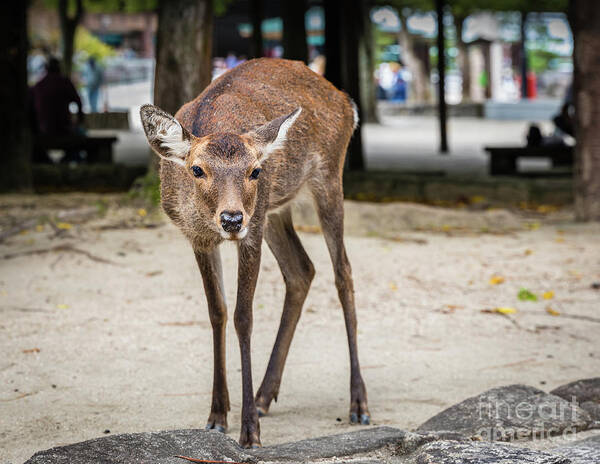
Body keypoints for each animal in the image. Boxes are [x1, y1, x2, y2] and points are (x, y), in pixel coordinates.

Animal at [140, 56, 368, 448]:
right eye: (197, 169)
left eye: (255, 171)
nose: (231, 218)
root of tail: (345, 102)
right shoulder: (198, 238)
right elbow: (217, 312)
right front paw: (217, 415)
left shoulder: (252, 232)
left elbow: (243, 317)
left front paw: (249, 432)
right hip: (273, 209)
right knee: (302, 269)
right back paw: (264, 396)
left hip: (323, 181)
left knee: (343, 272)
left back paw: (358, 403)